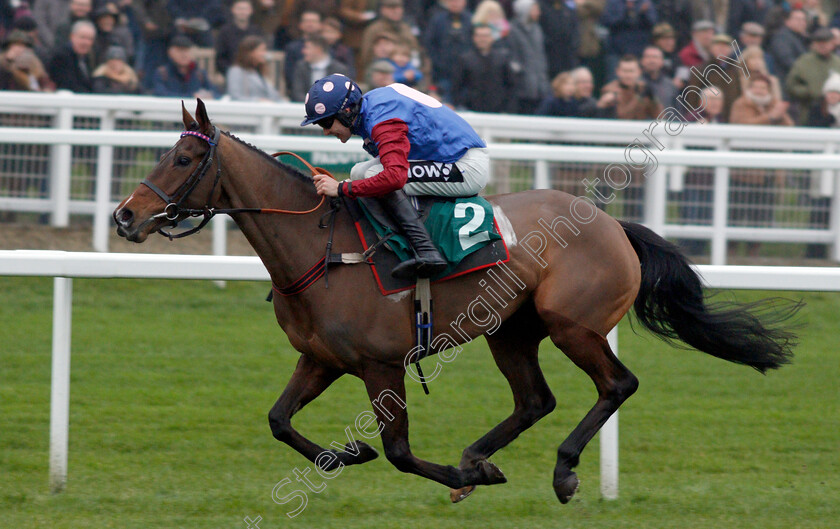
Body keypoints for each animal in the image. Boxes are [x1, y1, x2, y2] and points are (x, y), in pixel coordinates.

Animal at [113, 100, 800, 504]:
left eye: (183, 156)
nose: (125, 216)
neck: (317, 249)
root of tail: (612, 224)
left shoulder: (380, 365)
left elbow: (398, 452)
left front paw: (457, 476)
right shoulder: (322, 359)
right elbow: (280, 421)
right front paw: (349, 454)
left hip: (572, 323)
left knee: (617, 384)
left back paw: (560, 470)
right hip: (511, 330)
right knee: (535, 400)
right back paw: (481, 454)